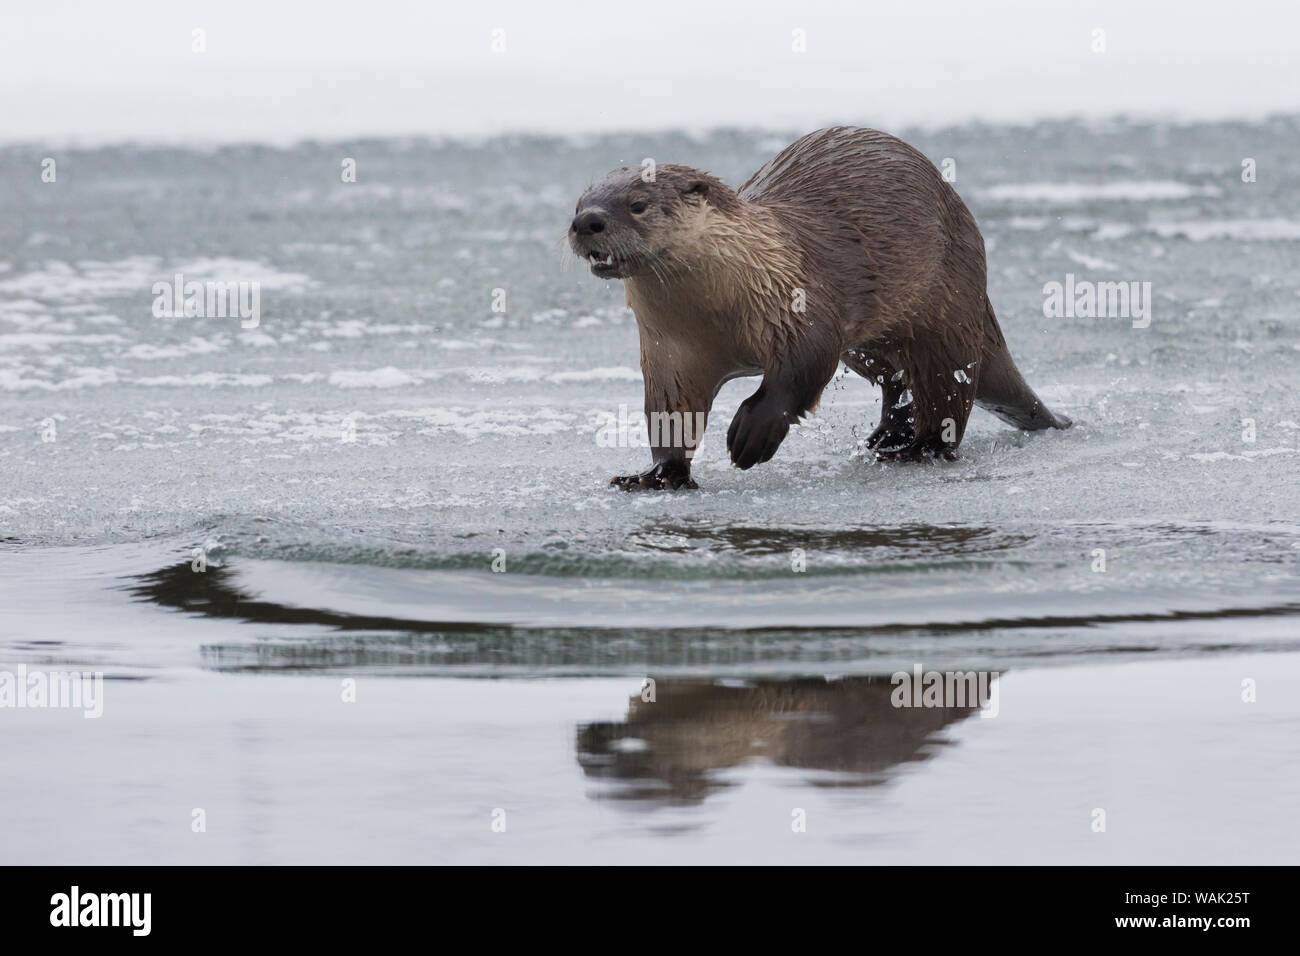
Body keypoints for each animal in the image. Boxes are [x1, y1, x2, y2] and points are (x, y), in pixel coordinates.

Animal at [574, 127, 1071, 489]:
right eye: (579, 203)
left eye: (638, 205)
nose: (586, 221)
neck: (718, 315)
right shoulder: (671, 353)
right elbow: (668, 414)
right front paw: (659, 475)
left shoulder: (798, 305)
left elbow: (802, 369)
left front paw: (752, 434)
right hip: (872, 346)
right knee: (898, 385)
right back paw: (884, 440)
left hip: (946, 316)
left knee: (945, 390)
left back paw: (919, 450)